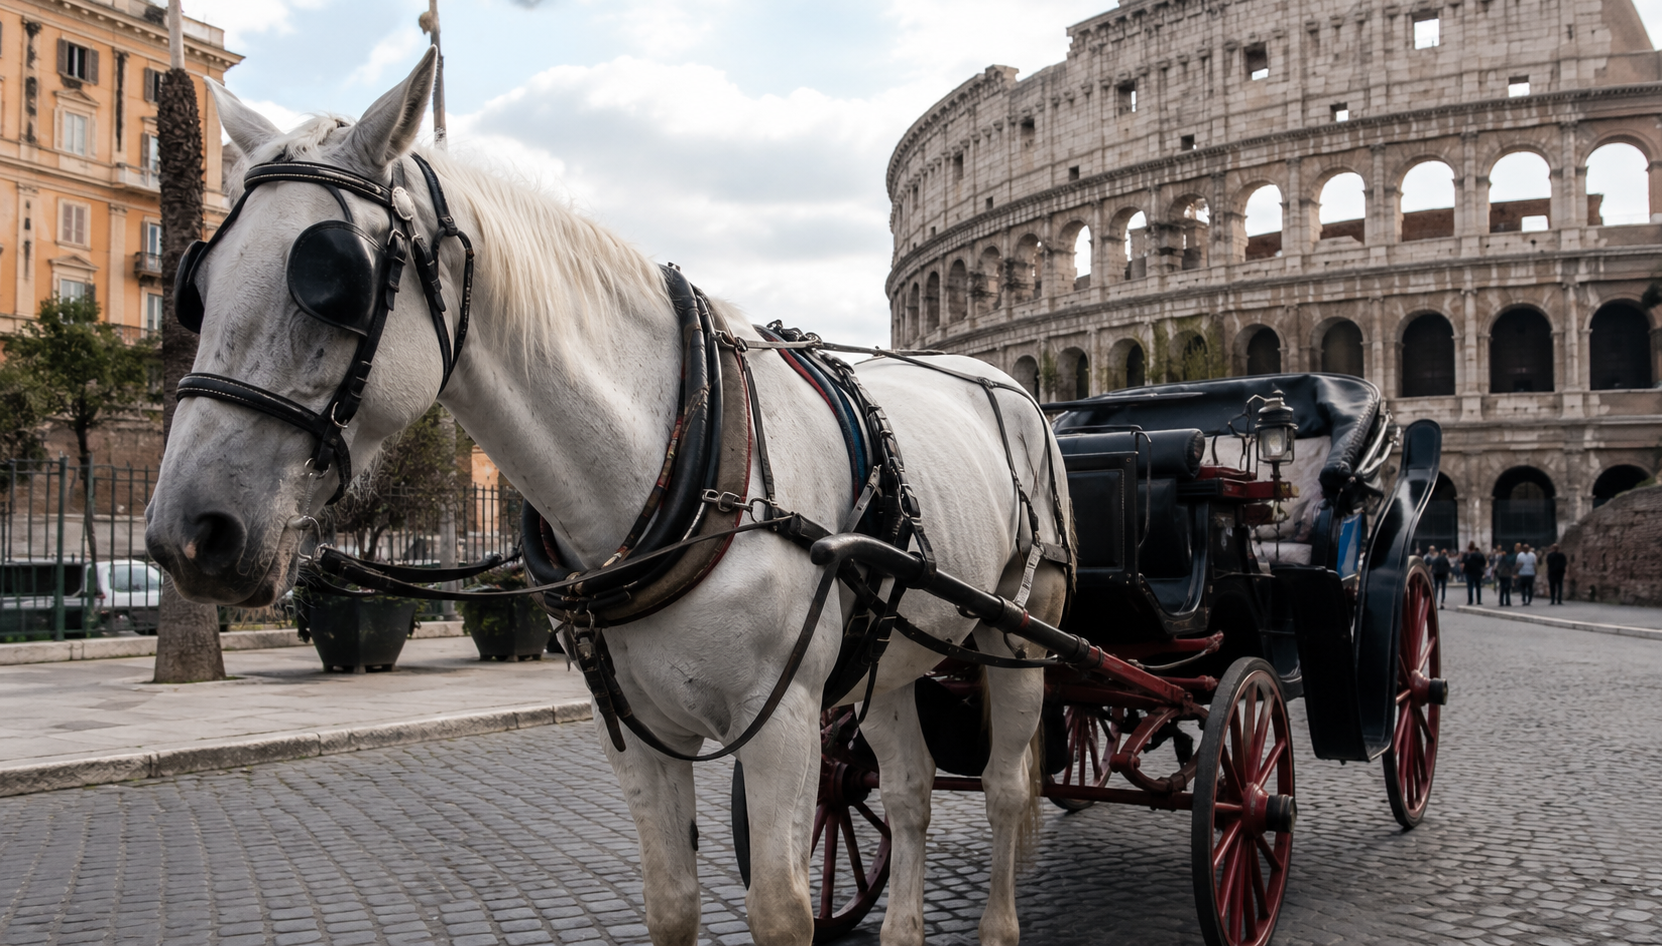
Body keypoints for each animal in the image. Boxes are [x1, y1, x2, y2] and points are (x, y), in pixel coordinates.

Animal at [146, 48, 1071, 946]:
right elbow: (671, 904)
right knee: (911, 791)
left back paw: (999, 924)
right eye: (199, 282)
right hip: (892, 655)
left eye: (333, 278)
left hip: (1021, 633)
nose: (187, 533)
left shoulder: (782, 721)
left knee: (1003, 788)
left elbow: (781, 911)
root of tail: (1011, 387)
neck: (679, 458)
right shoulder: (633, 731)